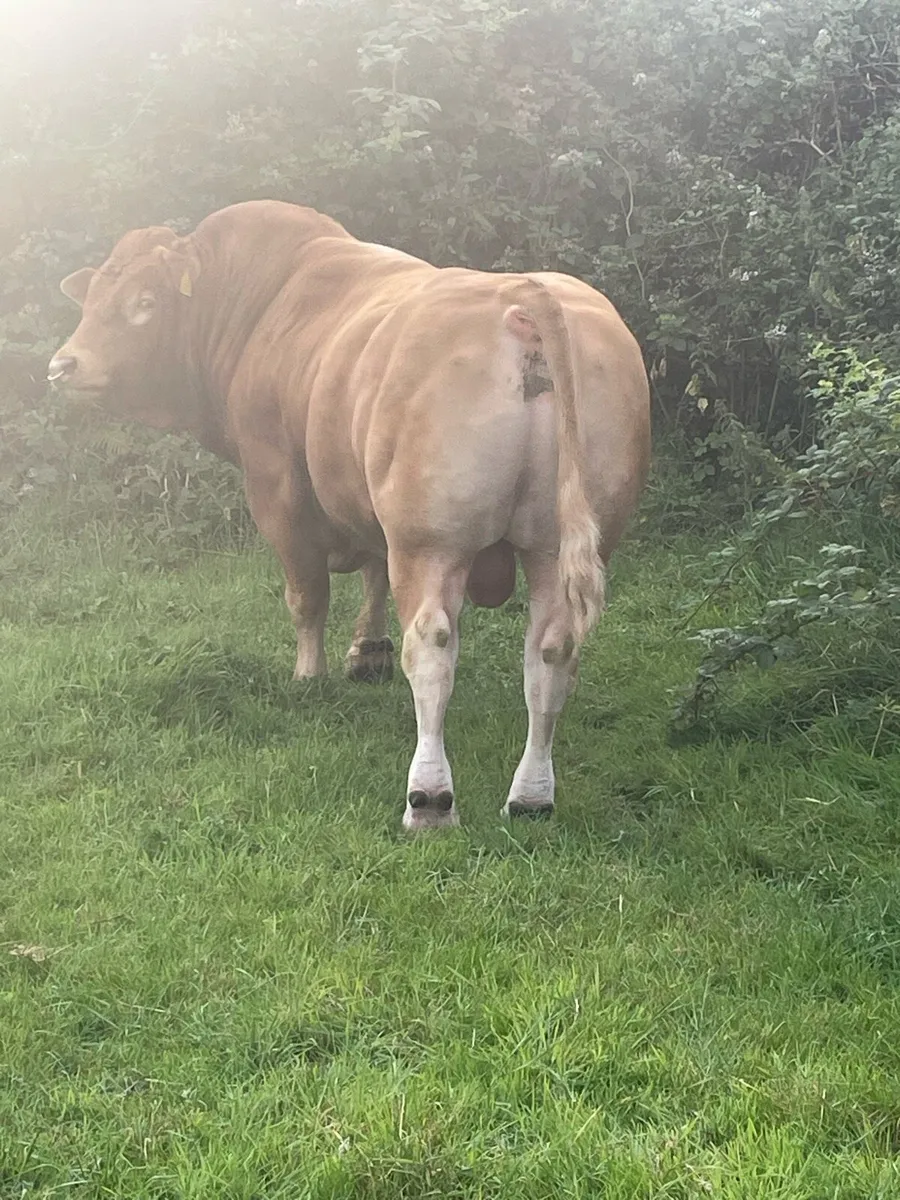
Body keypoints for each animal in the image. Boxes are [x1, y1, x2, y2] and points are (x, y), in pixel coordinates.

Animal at [48, 200, 650, 829]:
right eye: (92, 299)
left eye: (144, 302)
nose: (63, 365)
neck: (262, 301)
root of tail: (523, 292)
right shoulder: (368, 506)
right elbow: (373, 573)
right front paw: (368, 652)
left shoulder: (278, 491)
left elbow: (307, 594)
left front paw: (308, 676)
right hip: (553, 546)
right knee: (550, 653)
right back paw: (531, 796)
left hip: (430, 541)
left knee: (433, 649)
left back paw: (429, 799)